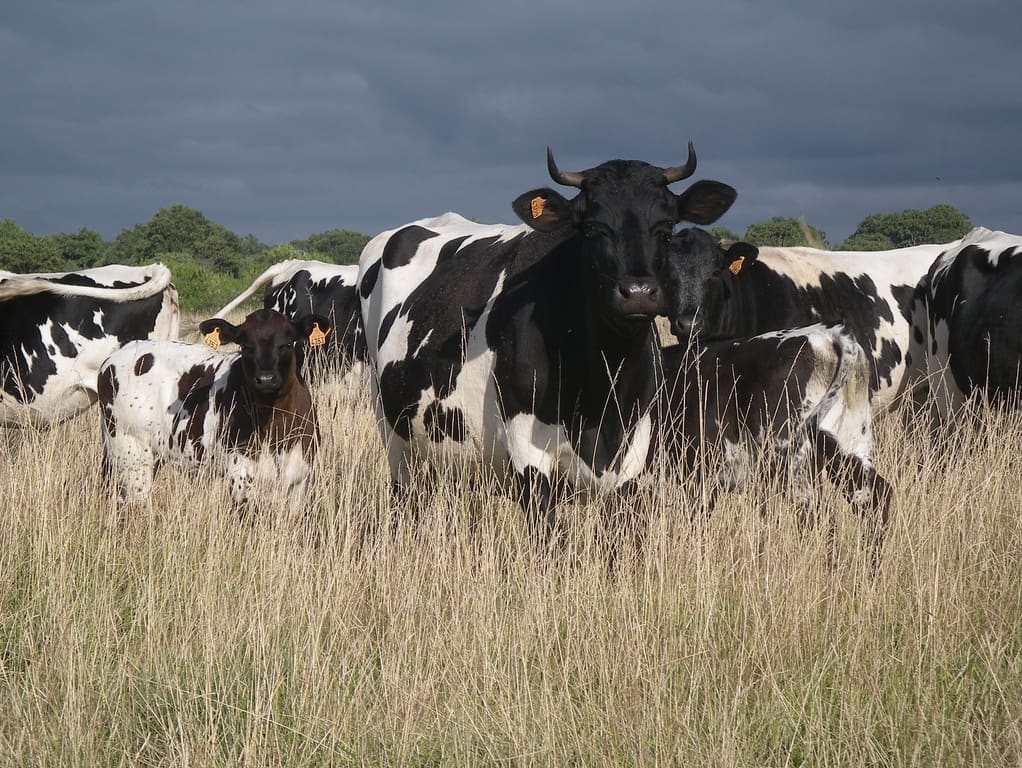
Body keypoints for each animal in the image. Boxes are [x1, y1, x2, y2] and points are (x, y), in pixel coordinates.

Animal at [97, 309, 331, 504]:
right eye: (245, 346)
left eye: (287, 343)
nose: (266, 379)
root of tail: (125, 349)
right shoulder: (240, 476)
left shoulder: (301, 480)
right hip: (130, 452)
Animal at [357, 143, 737, 544]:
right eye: (592, 228)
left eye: (665, 229)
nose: (637, 293)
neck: (603, 388)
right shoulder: (530, 457)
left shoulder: (632, 460)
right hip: (395, 438)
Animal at [658, 323, 892, 555]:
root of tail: (828, 336)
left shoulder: (695, 476)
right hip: (844, 448)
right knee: (875, 495)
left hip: (791, 466)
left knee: (818, 517)